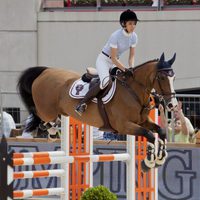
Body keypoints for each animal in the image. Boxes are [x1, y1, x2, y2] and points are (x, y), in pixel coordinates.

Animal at [17, 53, 177, 172]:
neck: (133, 91)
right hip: (46, 110)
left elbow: (161, 131)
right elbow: (149, 134)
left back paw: (51, 130)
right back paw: (49, 129)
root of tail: (45, 71)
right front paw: (148, 162)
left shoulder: (142, 122)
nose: (172, 105)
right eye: (162, 77)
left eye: (173, 77)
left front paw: (160, 158)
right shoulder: (124, 126)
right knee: (38, 114)